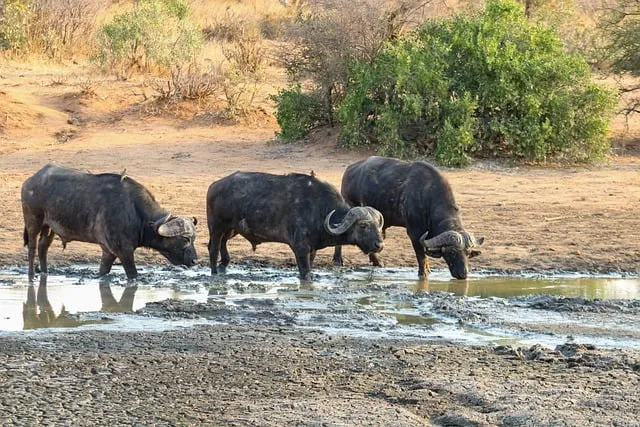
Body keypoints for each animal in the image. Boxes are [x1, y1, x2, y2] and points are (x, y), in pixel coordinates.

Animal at [22, 164, 198, 280]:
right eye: (184, 239)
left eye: (193, 239)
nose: (195, 261)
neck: (136, 212)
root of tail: (30, 181)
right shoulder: (124, 251)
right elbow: (133, 274)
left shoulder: (108, 252)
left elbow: (103, 271)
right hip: (33, 222)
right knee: (32, 247)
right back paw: (32, 275)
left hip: (49, 227)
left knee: (43, 247)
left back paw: (45, 273)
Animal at [207, 171, 384, 281]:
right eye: (363, 226)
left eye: (378, 225)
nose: (379, 245)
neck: (318, 209)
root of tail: (214, 185)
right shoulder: (300, 249)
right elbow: (305, 273)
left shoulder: (312, 250)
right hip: (216, 227)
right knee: (213, 248)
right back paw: (214, 272)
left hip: (231, 229)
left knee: (222, 243)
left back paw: (223, 265)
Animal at [333, 156, 483, 279]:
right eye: (451, 253)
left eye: (468, 252)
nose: (463, 274)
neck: (428, 195)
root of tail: (349, 169)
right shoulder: (414, 233)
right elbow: (421, 256)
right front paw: (423, 273)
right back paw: (337, 260)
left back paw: (377, 262)